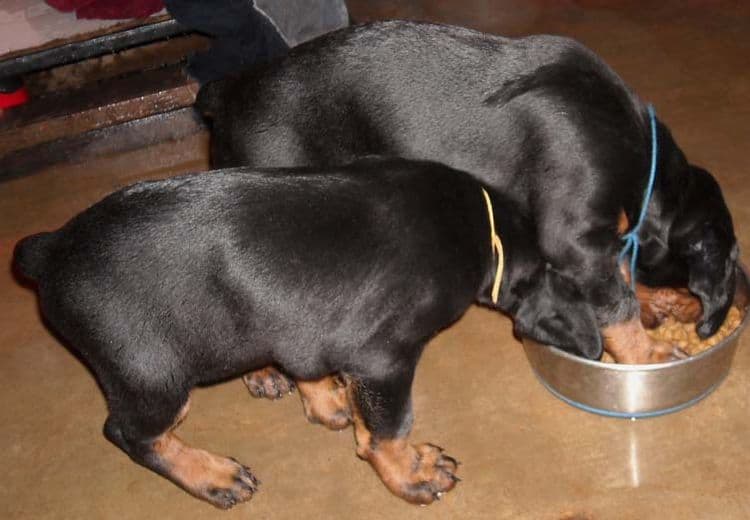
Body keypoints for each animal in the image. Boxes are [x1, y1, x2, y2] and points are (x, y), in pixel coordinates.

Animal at [14, 158, 604, 508]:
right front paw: (413, 474)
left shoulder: (315, 331)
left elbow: (325, 379)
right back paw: (212, 475)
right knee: (131, 434)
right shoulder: (385, 357)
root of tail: (51, 250)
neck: (482, 224)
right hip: (152, 372)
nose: (597, 347)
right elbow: (390, 429)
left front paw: (330, 403)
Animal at [198, 19, 740, 362]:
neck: (640, 157)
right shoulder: (573, 236)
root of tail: (228, 93)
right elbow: (616, 305)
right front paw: (648, 353)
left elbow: (618, 277)